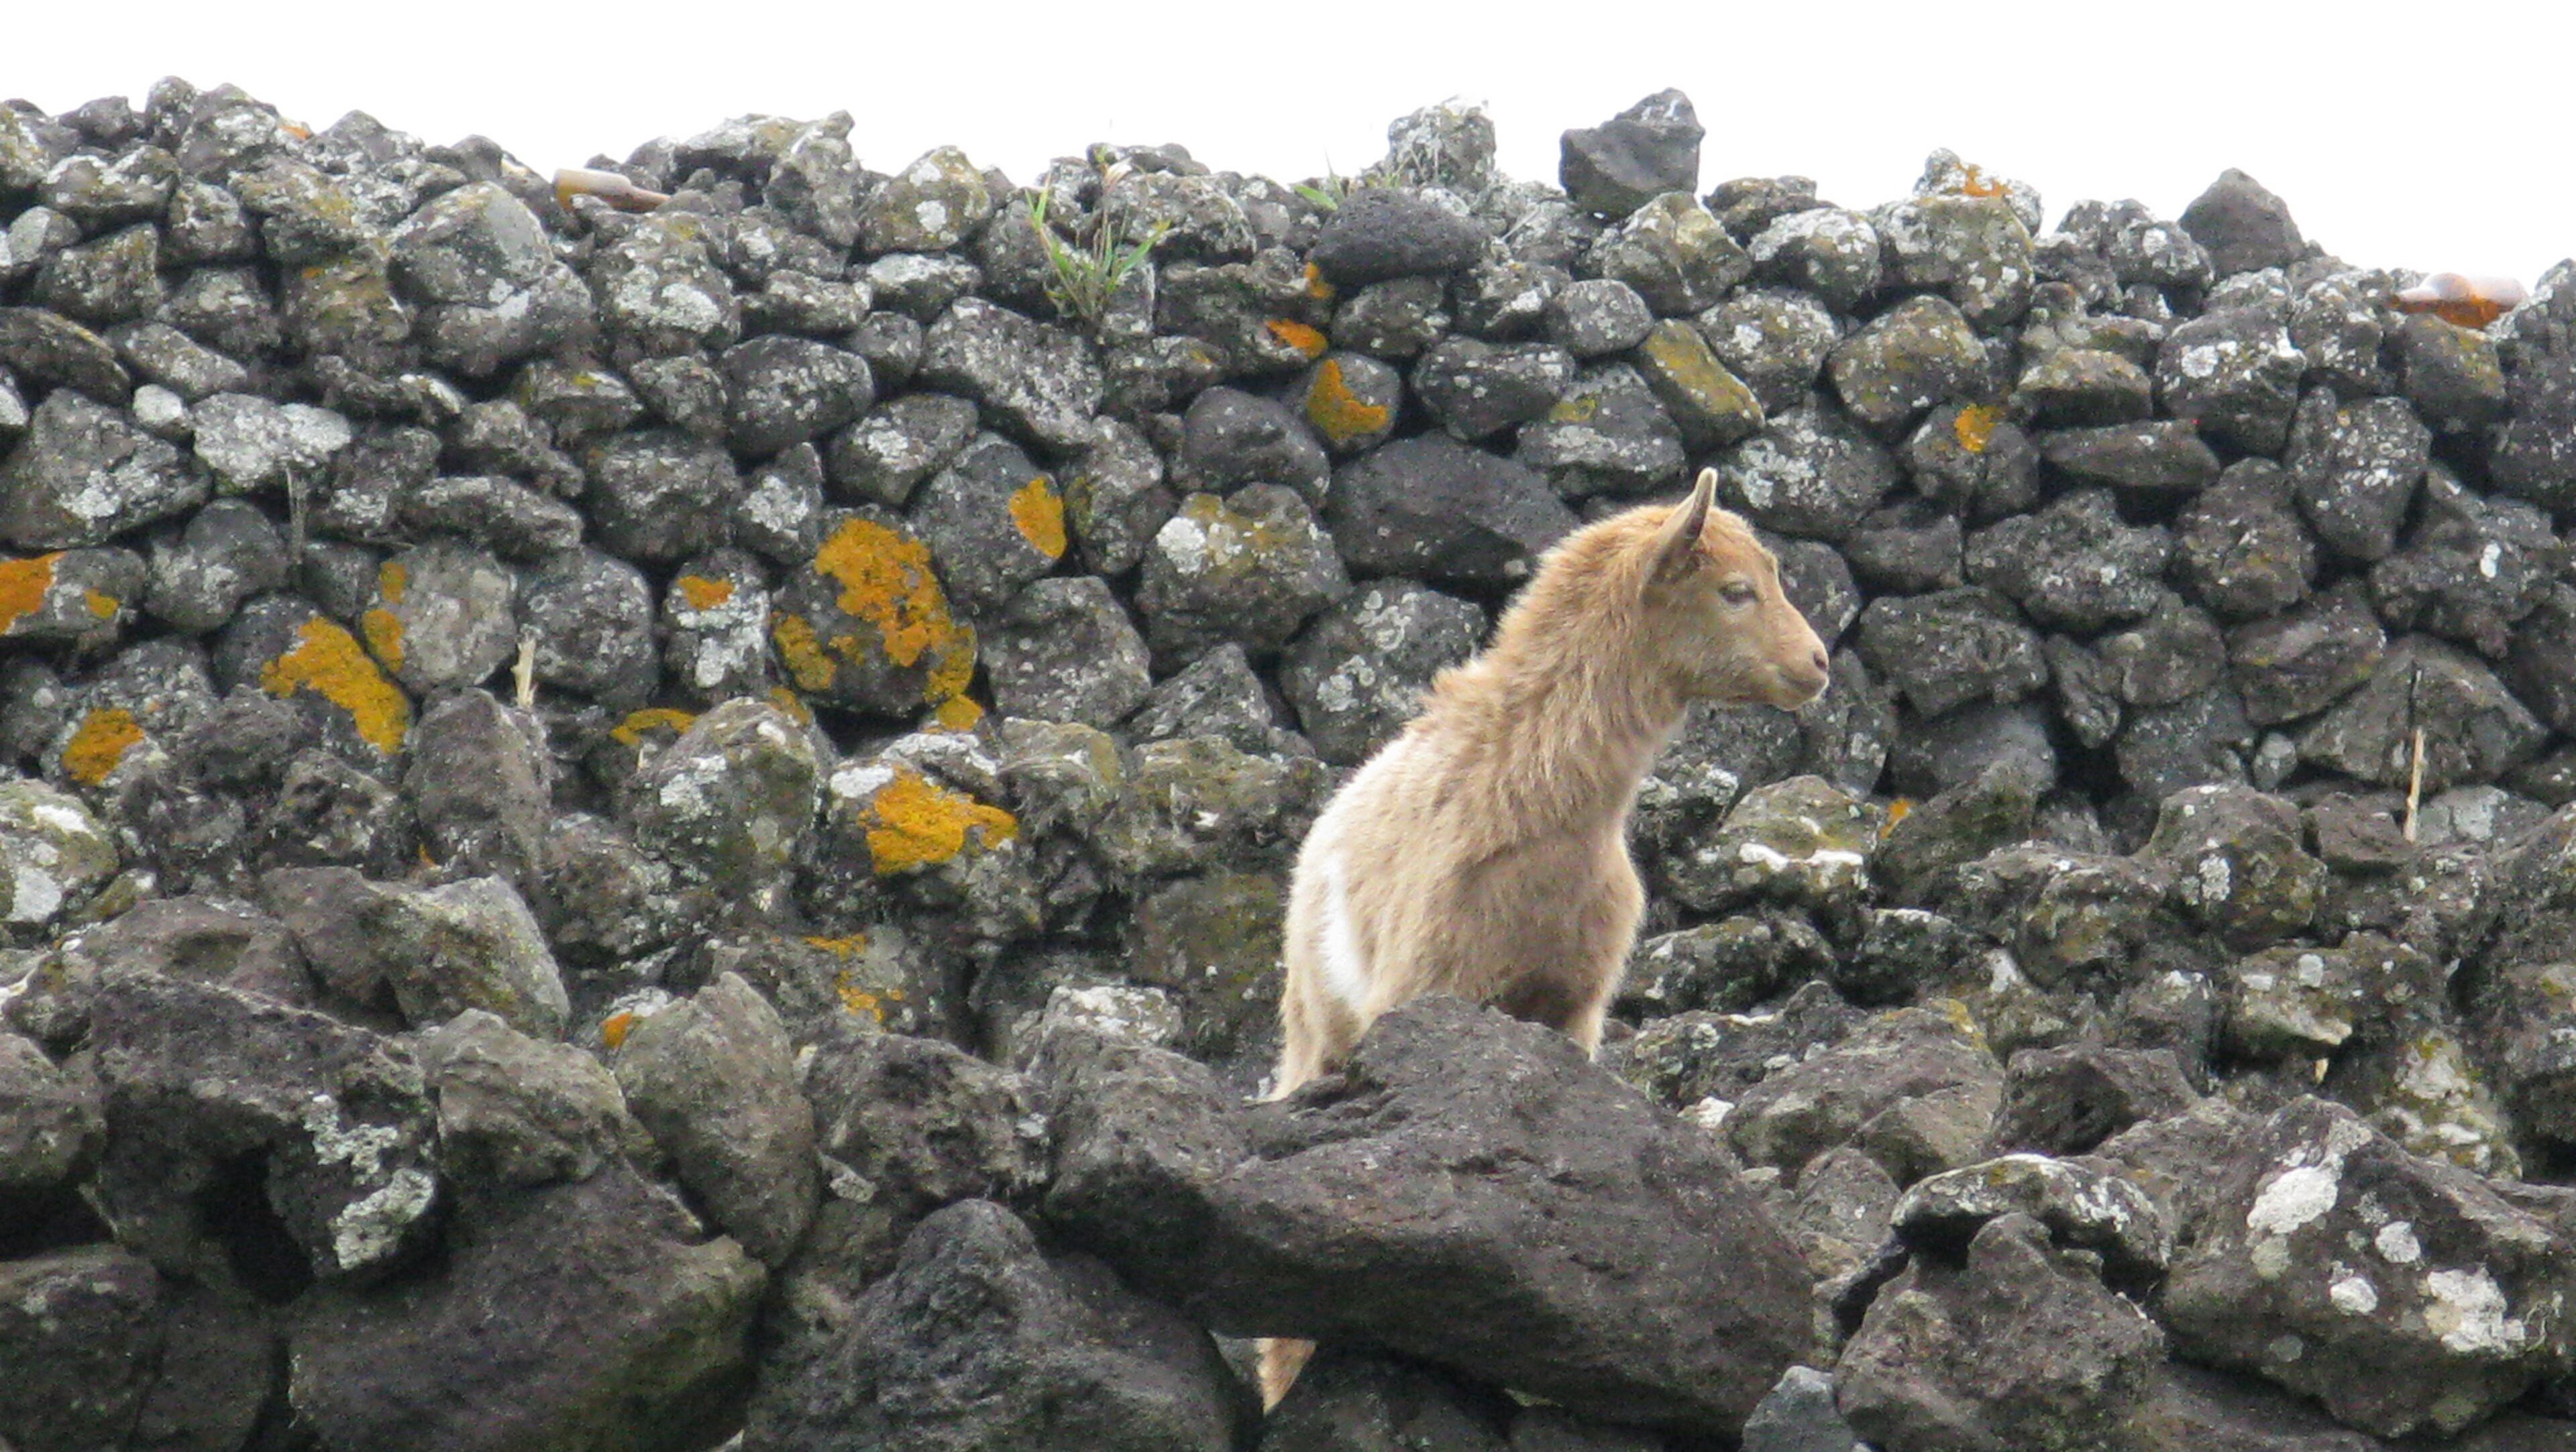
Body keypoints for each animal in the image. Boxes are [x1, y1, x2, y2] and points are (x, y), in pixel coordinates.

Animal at [1257, 466, 1831, 1408]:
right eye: (1735, 589)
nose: (1816, 664)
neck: (1536, 794)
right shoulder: (1426, 994)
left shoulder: (1574, 1005)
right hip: (1316, 1027)